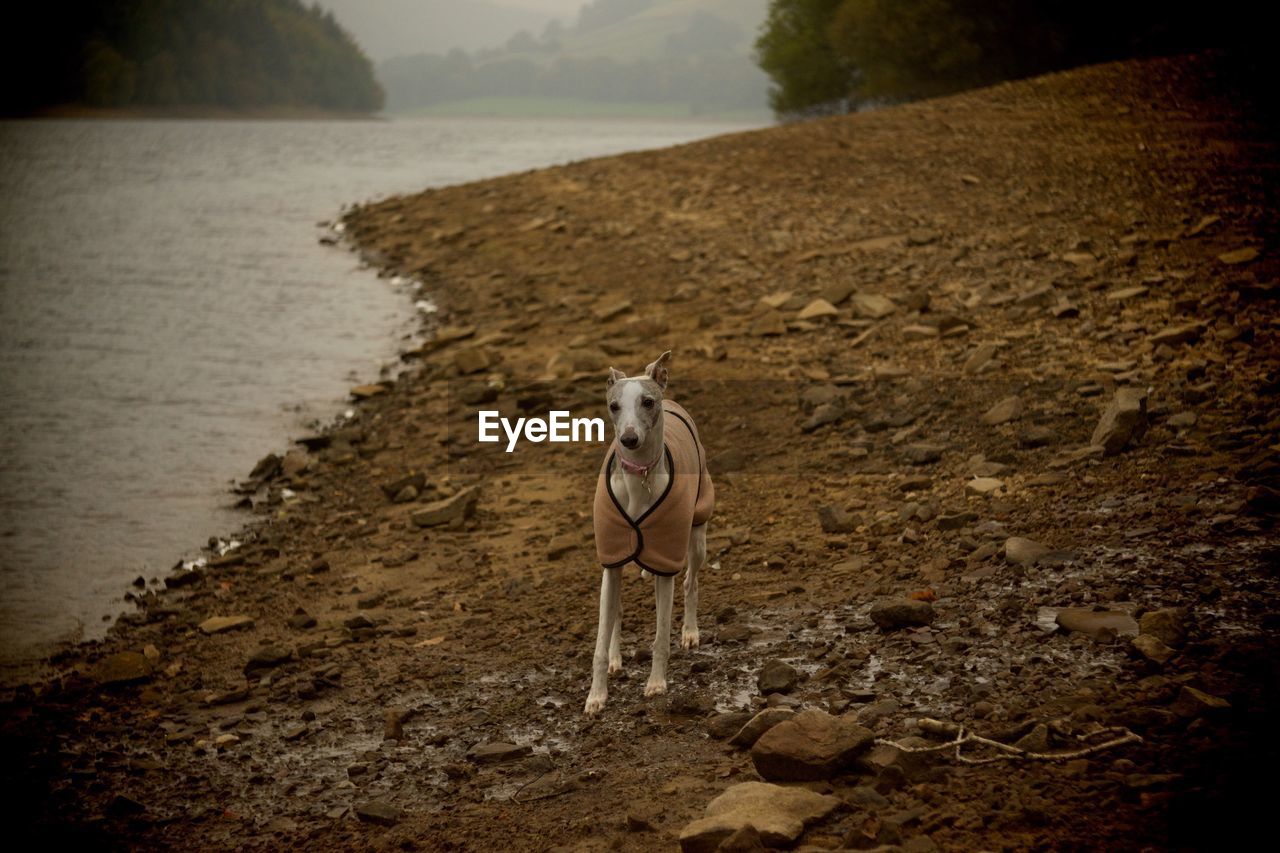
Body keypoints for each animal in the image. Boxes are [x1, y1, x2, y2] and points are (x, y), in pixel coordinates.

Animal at [586, 348, 716, 712]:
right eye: (613, 406)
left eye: (647, 402)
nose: (629, 439)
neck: (639, 476)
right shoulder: (611, 561)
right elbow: (601, 639)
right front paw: (596, 695)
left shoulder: (665, 563)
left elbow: (660, 637)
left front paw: (656, 684)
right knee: (616, 611)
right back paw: (617, 659)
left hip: (697, 536)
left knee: (691, 582)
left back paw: (690, 631)